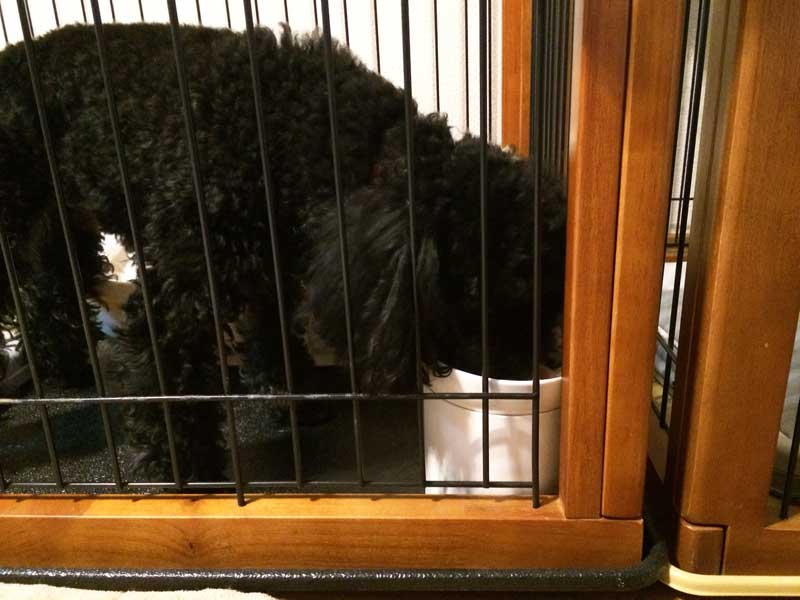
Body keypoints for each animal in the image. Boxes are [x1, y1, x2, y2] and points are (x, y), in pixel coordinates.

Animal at [0, 23, 565, 482]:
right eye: (481, 293)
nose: (532, 371)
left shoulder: (273, 262)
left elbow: (273, 332)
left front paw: (295, 398)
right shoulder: (186, 279)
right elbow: (172, 373)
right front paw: (183, 466)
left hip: (59, 220)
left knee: (50, 288)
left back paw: (66, 367)